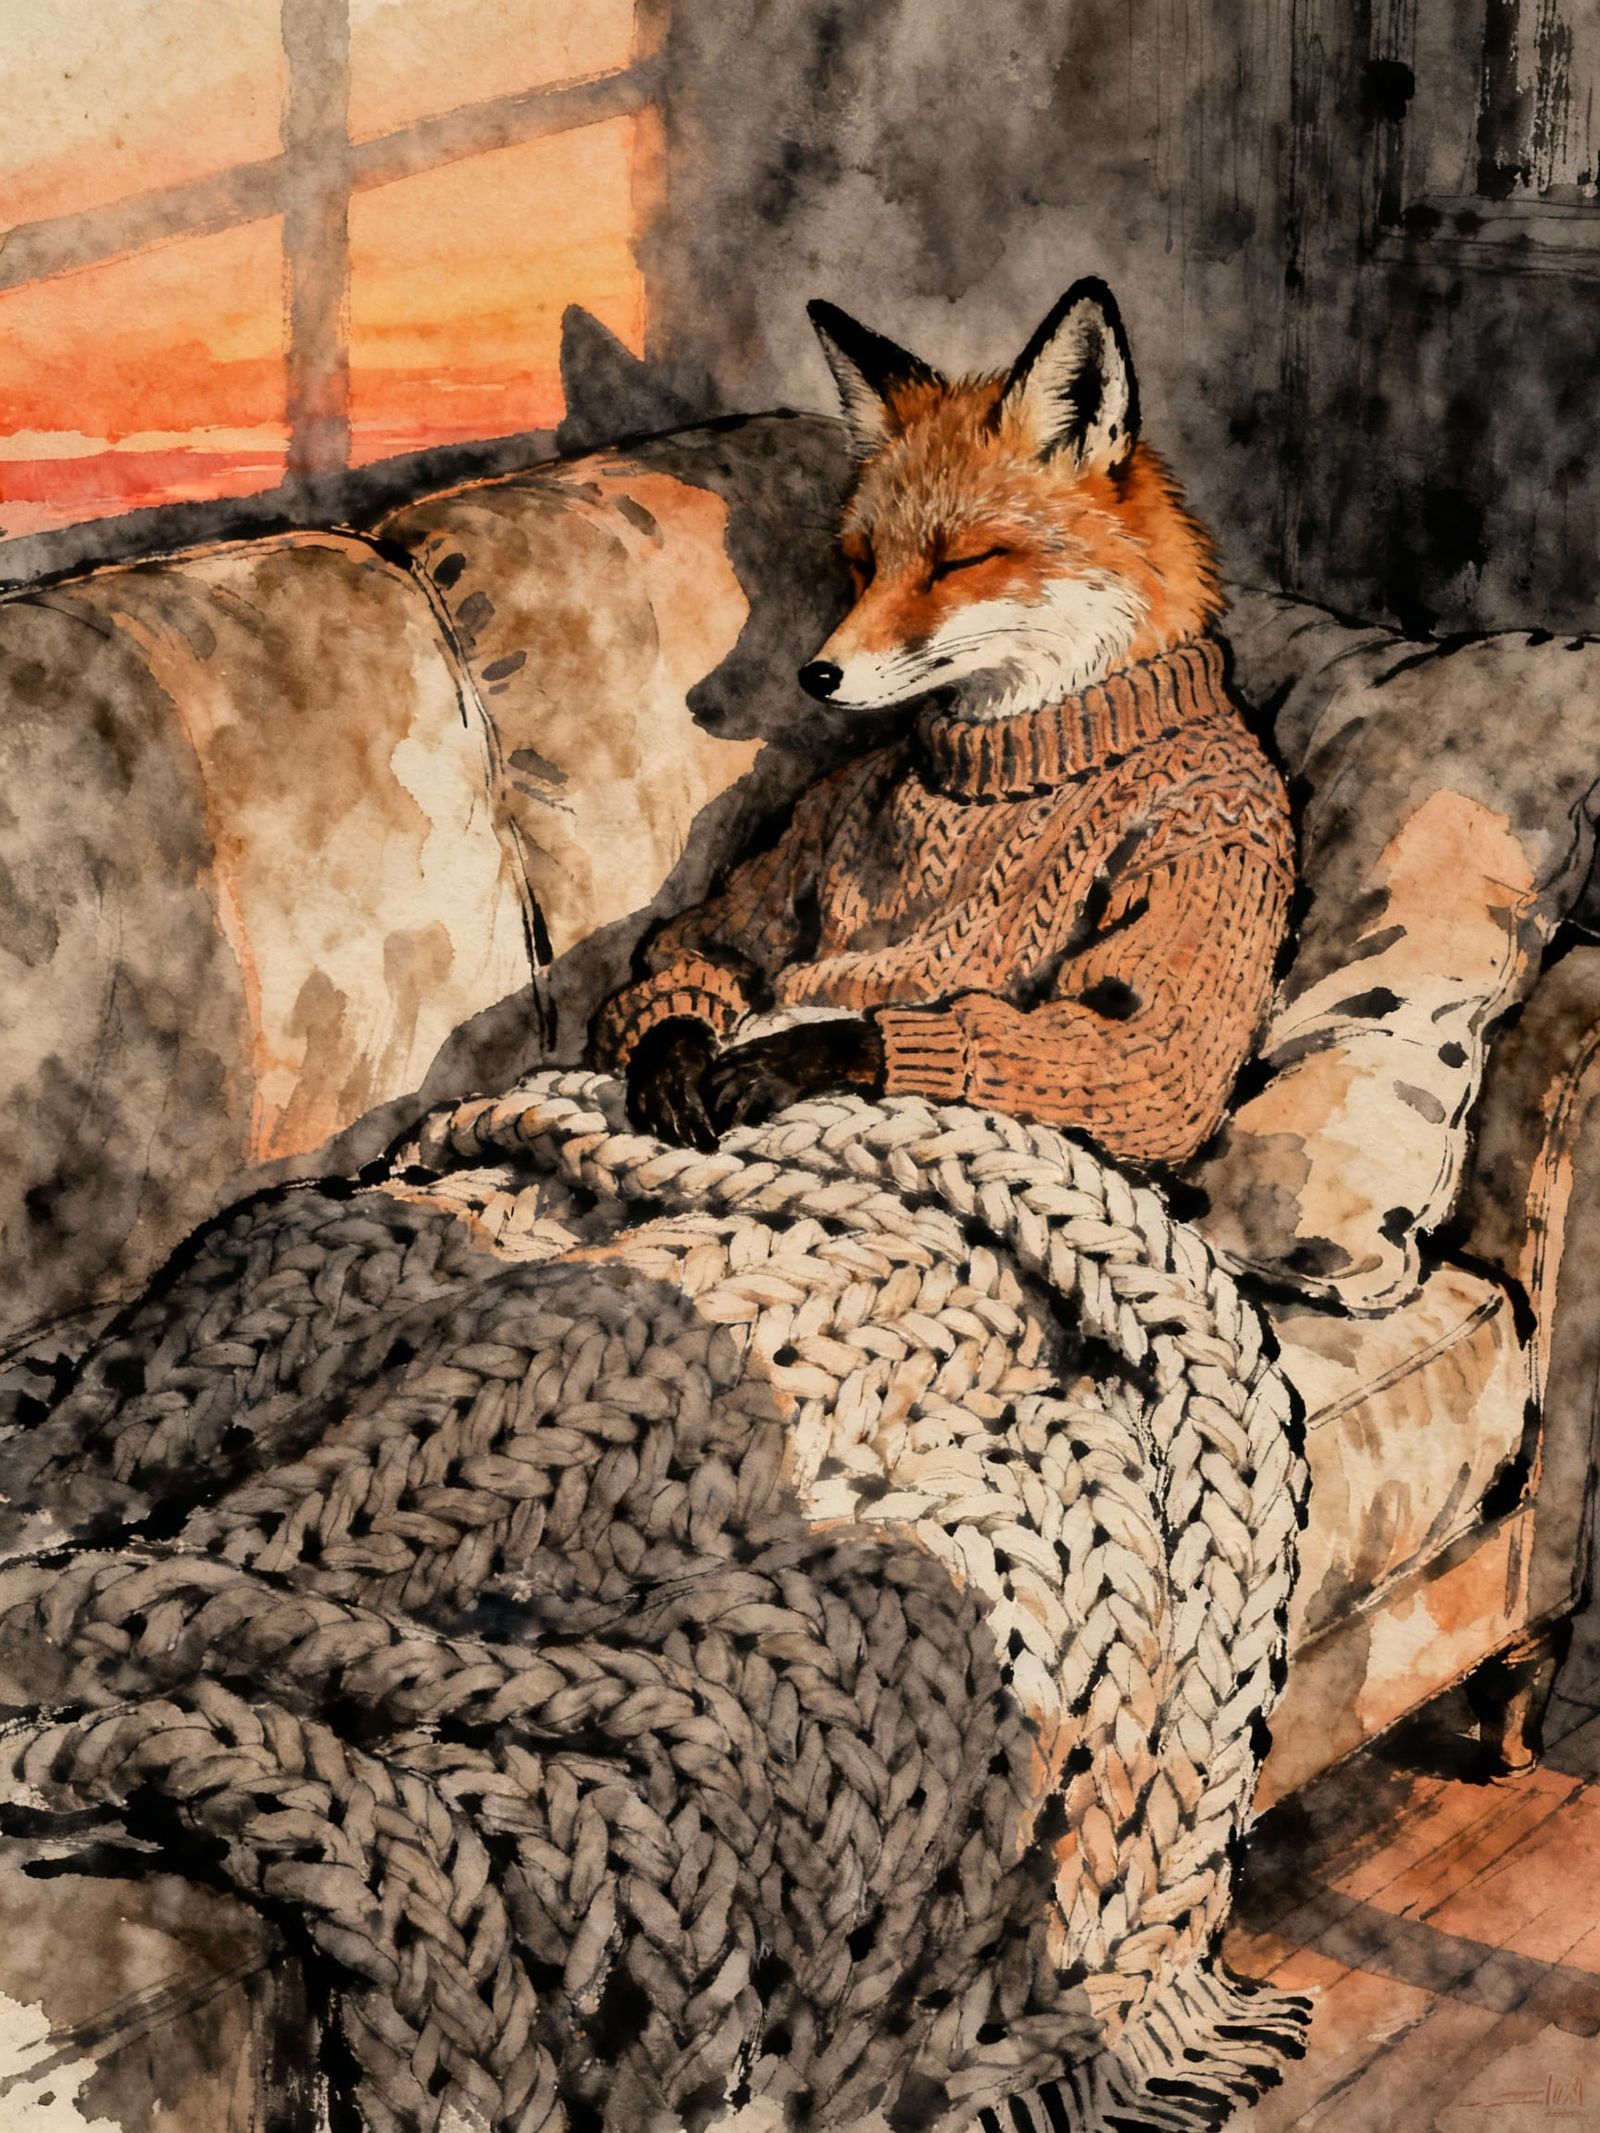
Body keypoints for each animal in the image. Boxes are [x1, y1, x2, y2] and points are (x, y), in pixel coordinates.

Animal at [594, 278, 1294, 1164]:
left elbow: (1144, 1049)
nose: (816, 676)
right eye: (864, 563)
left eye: (958, 562)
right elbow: (703, 948)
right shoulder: (812, 820)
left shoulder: (1217, 830)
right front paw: (673, 1056)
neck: (1025, 753)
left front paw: (797, 1054)